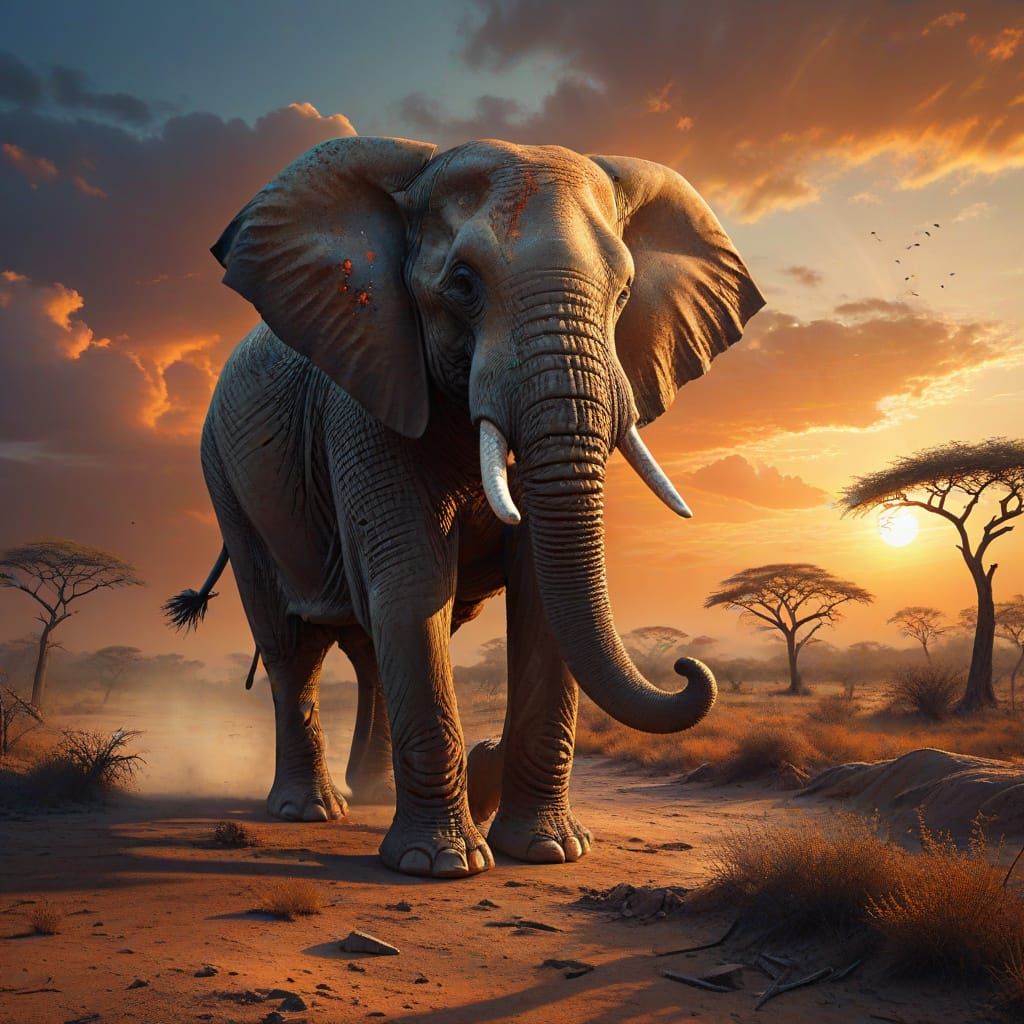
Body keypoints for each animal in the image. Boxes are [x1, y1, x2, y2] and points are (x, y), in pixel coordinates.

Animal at [165, 135, 764, 879]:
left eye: (624, 293)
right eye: (462, 285)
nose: (686, 666)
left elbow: (537, 589)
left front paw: (547, 851)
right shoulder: (365, 386)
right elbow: (414, 576)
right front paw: (439, 864)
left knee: (370, 645)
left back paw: (372, 795)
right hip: (224, 476)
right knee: (291, 647)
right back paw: (312, 810)